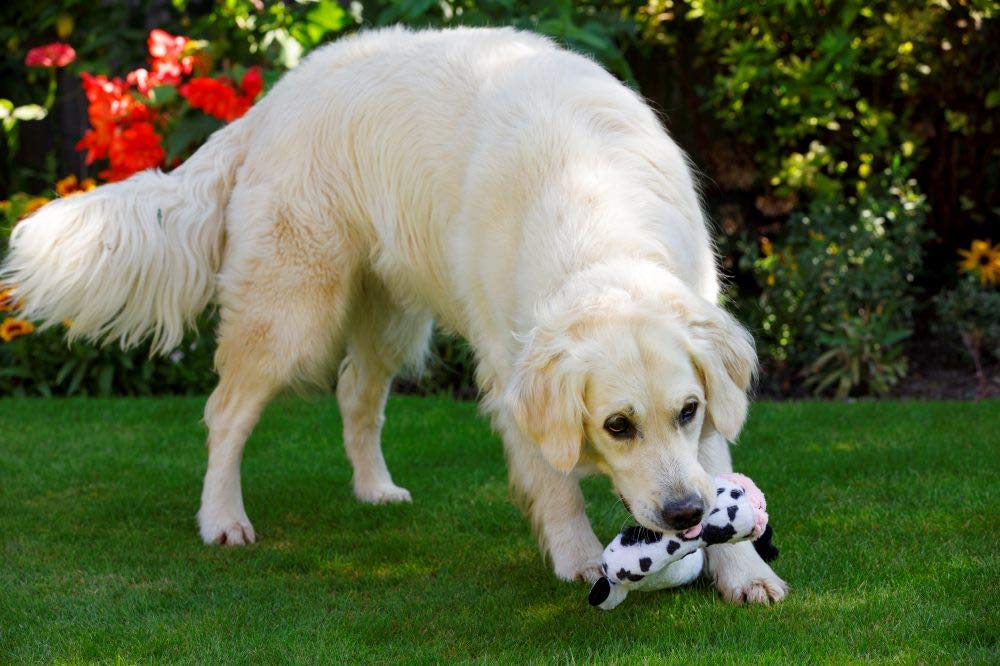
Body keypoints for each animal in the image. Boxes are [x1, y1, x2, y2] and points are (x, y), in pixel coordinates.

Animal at [5, 27, 788, 600]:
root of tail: (272, 101)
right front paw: (578, 556)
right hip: (292, 309)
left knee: (356, 392)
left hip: (390, 313)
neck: (599, 222)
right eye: (617, 426)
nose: (685, 517)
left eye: (687, 411)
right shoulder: (510, 367)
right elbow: (553, 476)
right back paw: (223, 519)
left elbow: (714, 456)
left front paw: (745, 574)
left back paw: (375, 490)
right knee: (225, 412)